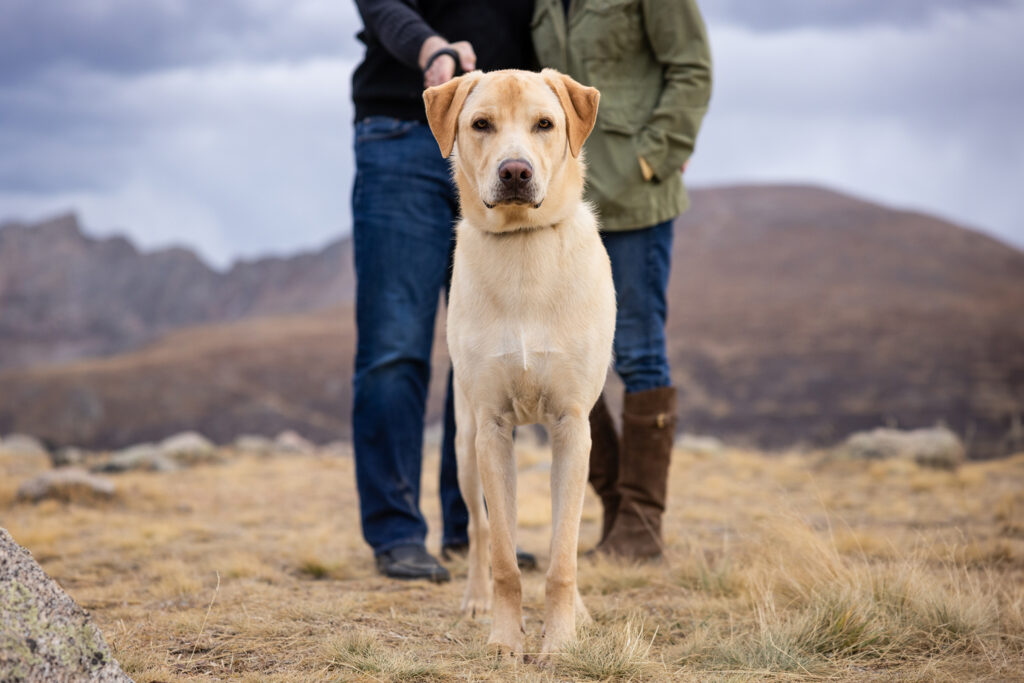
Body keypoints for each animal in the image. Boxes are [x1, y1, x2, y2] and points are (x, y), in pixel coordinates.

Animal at [423, 70, 614, 655]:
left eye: (545, 124)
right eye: (481, 124)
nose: (515, 171)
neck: (523, 248)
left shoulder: (572, 426)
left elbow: (563, 553)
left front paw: (562, 640)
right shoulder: (492, 428)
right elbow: (505, 555)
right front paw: (506, 640)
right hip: (465, 446)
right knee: (480, 531)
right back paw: (476, 600)